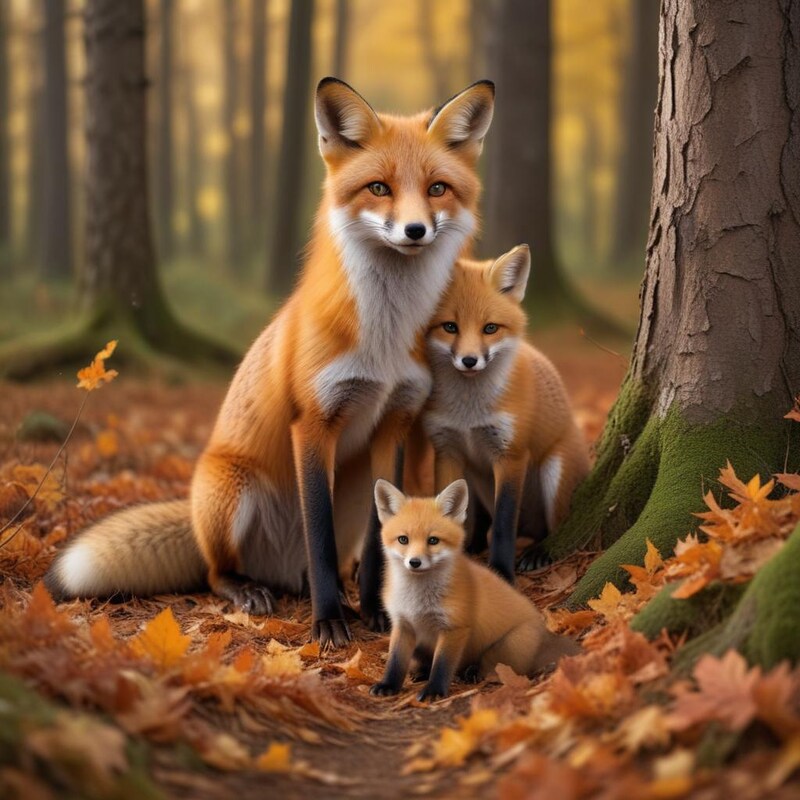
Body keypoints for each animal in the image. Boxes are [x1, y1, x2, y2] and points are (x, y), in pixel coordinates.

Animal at [44, 77, 496, 648]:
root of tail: (275, 568)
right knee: (217, 572)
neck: (386, 338)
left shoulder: (393, 422)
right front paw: (328, 621)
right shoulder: (313, 423)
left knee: (329, 556)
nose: (415, 230)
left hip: (349, 493)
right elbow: (318, 536)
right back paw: (251, 590)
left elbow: (381, 538)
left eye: (437, 188)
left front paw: (375, 609)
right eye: (378, 188)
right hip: (232, 494)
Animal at [370, 478, 580, 701]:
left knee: (492, 668)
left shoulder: (455, 627)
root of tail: (543, 630)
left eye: (433, 540)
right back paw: (423, 672)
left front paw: (434, 690)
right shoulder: (402, 624)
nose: (414, 562)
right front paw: (388, 684)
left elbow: (442, 665)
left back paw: (472, 672)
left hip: (507, 646)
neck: (418, 600)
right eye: (403, 539)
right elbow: (395, 661)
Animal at [422, 245, 590, 581]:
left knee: (555, 526)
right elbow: (450, 512)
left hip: (554, 473)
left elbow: (502, 523)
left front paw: (501, 571)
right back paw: (474, 545)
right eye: (450, 327)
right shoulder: (447, 450)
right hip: (472, 476)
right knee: (478, 520)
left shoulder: (510, 454)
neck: (469, 414)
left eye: (490, 328)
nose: (469, 360)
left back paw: (539, 551)